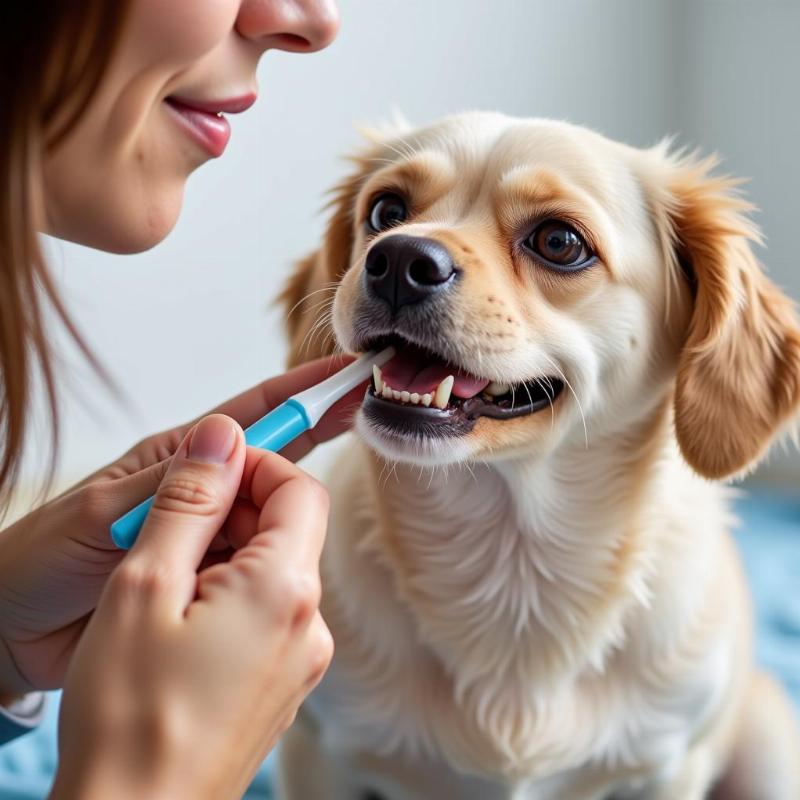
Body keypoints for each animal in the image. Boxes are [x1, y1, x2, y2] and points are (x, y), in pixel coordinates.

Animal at [276, 114, 800, 800]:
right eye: (386, 211)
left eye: (558, 241)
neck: (512, 559)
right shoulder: (318, 751)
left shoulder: (668, 768)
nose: (399, 259)